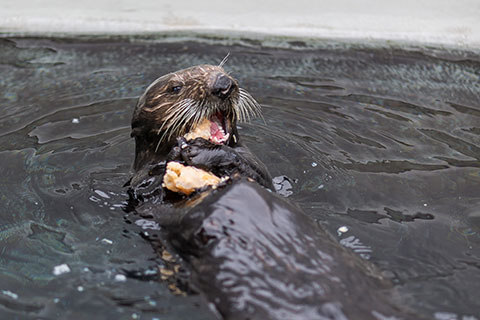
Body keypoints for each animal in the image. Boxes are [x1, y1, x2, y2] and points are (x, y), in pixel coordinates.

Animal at [127, 63, 416, 318]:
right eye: (175, 88)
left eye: (221, 70)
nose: (223, 84)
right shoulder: (139, 190)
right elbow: (148, 191)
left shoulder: (257, 168)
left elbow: (255, 174)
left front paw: (203, 150)